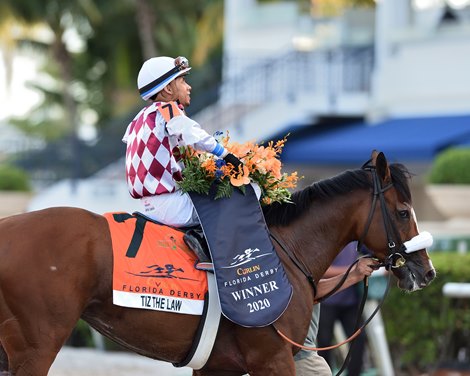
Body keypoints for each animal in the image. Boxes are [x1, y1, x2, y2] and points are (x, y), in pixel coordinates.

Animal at [0, 151, 436, 376]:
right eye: (403, 212)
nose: (427, 271)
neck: (284, 251)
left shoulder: (216, 365)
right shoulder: (272, 359)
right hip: (36, 347)